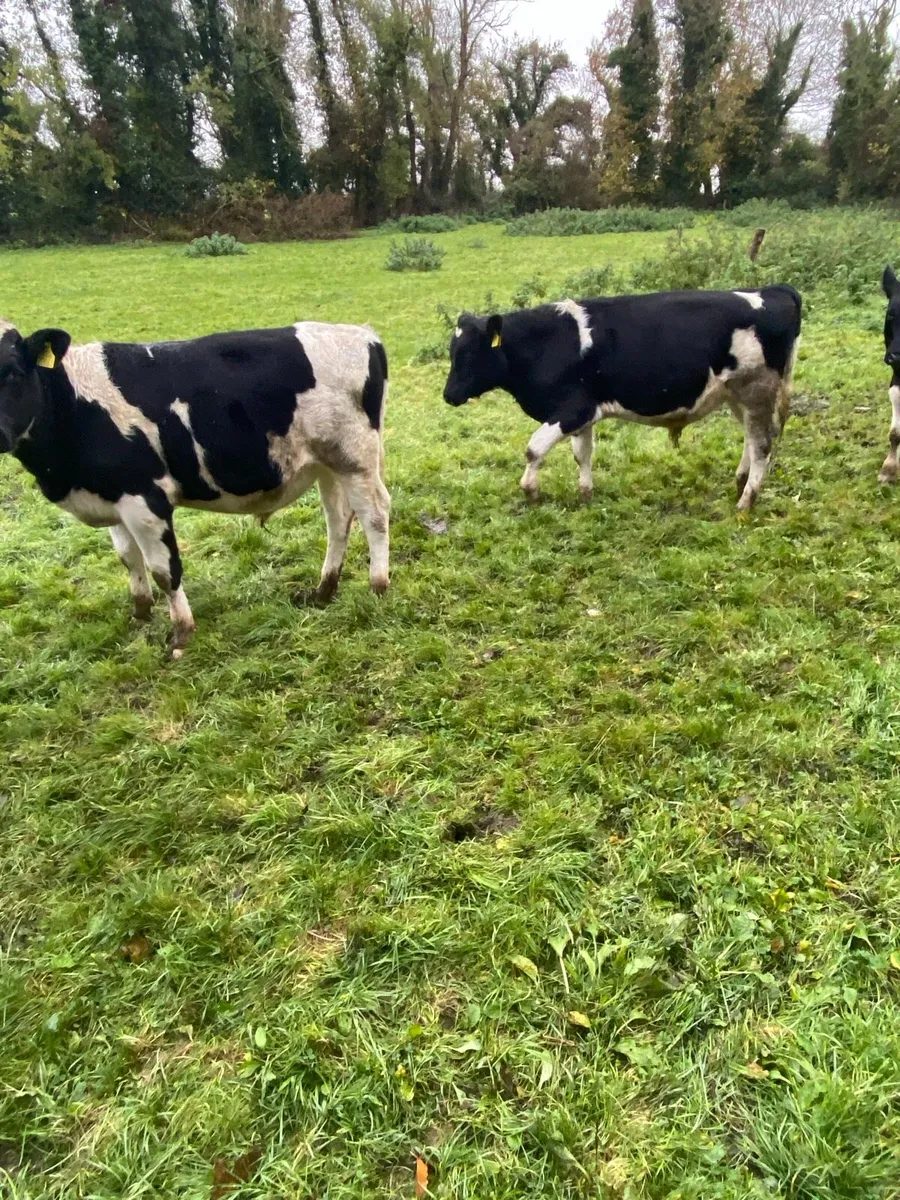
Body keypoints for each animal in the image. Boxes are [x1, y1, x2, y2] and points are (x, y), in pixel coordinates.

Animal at [0, 318, 391, 654]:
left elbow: (164, 570)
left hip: (356, 459)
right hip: (328, 465)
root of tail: (363, 334)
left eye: (14, 372)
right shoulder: (112, 498)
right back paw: (324, 590)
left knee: (374, 515)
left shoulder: (146, 501)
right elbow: (128, 560)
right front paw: (140, 615)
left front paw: (181, 633)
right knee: (338, 522)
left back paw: (378, 586)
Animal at [443, 286, 803, 511]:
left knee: (762, 445)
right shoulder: (584, 414)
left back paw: (746, 501)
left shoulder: (571, 410)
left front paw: (531, 492)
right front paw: (585, 495)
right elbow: (582, 455)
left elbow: (533, 449)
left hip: (756, 391)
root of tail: (770, 291)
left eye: (469, 353)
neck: (547, 344)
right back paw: (740, 480)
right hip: (735, 395)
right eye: (452, 351)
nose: (448, 395)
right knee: (750, 439)